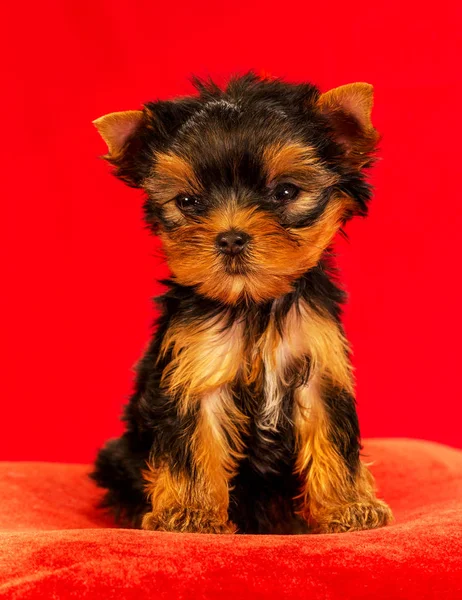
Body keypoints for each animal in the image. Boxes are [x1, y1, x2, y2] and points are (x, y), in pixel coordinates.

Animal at [91, 71, 394, 536]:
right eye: (188, 201)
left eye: (285, 191)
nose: (231, 237)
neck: (254, 302)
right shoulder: (197, 364)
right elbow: (194, 443)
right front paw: (191, 514)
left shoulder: (319, 362)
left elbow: (332, 433)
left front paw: (348, 507)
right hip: (118, 456)